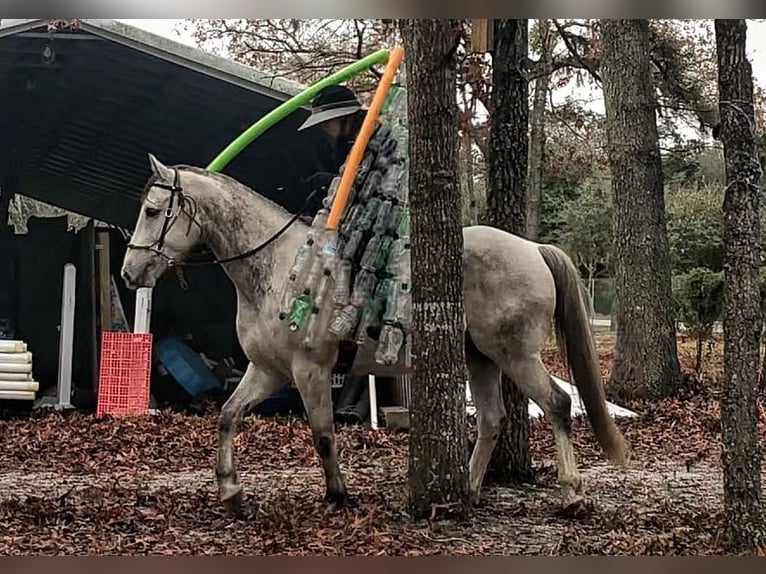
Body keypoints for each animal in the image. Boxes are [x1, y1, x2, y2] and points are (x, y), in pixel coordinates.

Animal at [123, 154, 628, 516]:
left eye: (152, 210)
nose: (130, 273)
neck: (282, 268)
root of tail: (532, 248)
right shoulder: (267, 371)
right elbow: (228, 416)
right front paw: (230, 493)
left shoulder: (310, 370)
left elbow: (323, 434)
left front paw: (337, 495)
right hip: (480, 357)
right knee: (490, 420)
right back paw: (467, 491)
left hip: (514, 354)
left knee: (557, 404)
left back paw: (571, 494)